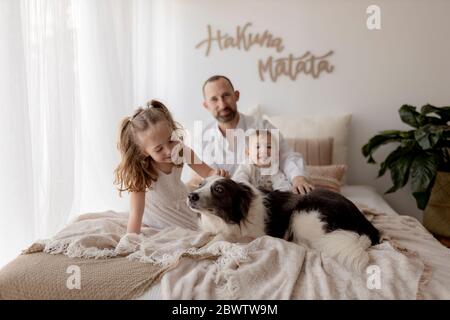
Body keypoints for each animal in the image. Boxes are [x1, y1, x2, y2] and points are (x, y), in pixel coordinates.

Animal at [186, 176, 380, 272]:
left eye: (219, 189)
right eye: (200, 184)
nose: (190, 195)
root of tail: (368, 227)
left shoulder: (248, 234)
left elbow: (221, 237)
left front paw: (202, 249)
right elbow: (205, 235)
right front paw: (197, 243)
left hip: (303, 213)